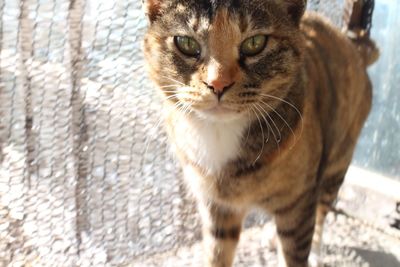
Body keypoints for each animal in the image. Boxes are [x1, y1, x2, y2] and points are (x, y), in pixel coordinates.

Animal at [143, 1, 378, 266]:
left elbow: (295, 253)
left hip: (335, 167)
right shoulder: (217, 207)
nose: (218, 84)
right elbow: (217, 254)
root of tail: (355, 46)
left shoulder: (299, 203)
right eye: (186, 43)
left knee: (321, 213)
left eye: (255, 43)